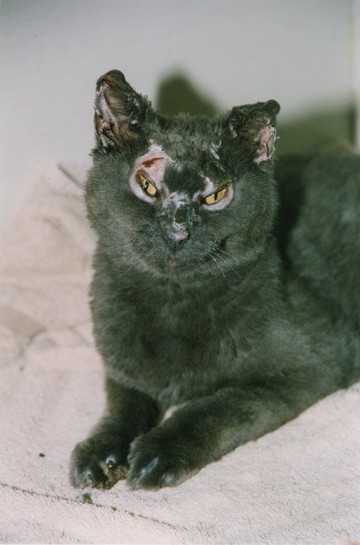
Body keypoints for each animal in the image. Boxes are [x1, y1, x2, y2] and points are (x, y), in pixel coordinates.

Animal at [69, 68, 358, 488]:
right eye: (147, 186)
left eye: (216, 196)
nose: (177, 232)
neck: (172, 300)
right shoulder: (122, 366)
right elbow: (122, 405)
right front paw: (100, 452)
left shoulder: (311, 366)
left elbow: (222, 406)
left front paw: (158, 453)